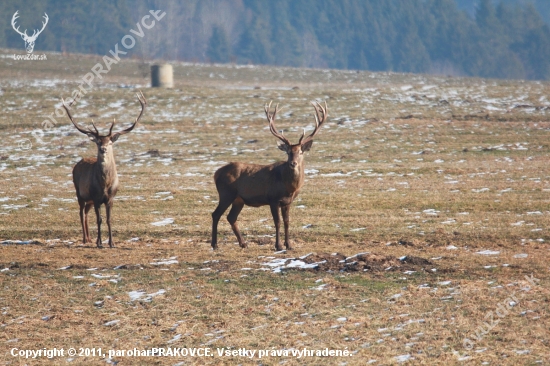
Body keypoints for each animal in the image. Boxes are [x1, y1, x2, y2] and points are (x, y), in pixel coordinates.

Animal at [62, 91, 148, 249]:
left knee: (86, 213)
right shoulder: (96, 198)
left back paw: (89, 238)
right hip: (80, 193)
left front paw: (112, 242)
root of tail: (78, 163)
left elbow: (109, 219)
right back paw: (85, 239)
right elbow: (100, 219)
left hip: (89, 200)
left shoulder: (110, 198)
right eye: (98, 142)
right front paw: (100, 243)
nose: (103, 149)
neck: (105, 184)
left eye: (109, 142)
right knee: (81, 213)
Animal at [211, 102, 328, 252]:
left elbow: (287, 222)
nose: (293, 163)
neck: (289, 188)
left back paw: (243, 243)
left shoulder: (287, 202)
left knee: (231, 217)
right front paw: (278, 246)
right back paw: (215, 244)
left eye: (301, 152)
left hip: (239, 199)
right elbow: (277, 222)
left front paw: (289, 245)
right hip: (226, 193)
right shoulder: (273, 199)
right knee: (216, 214)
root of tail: (216, 173)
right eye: (288, 152)